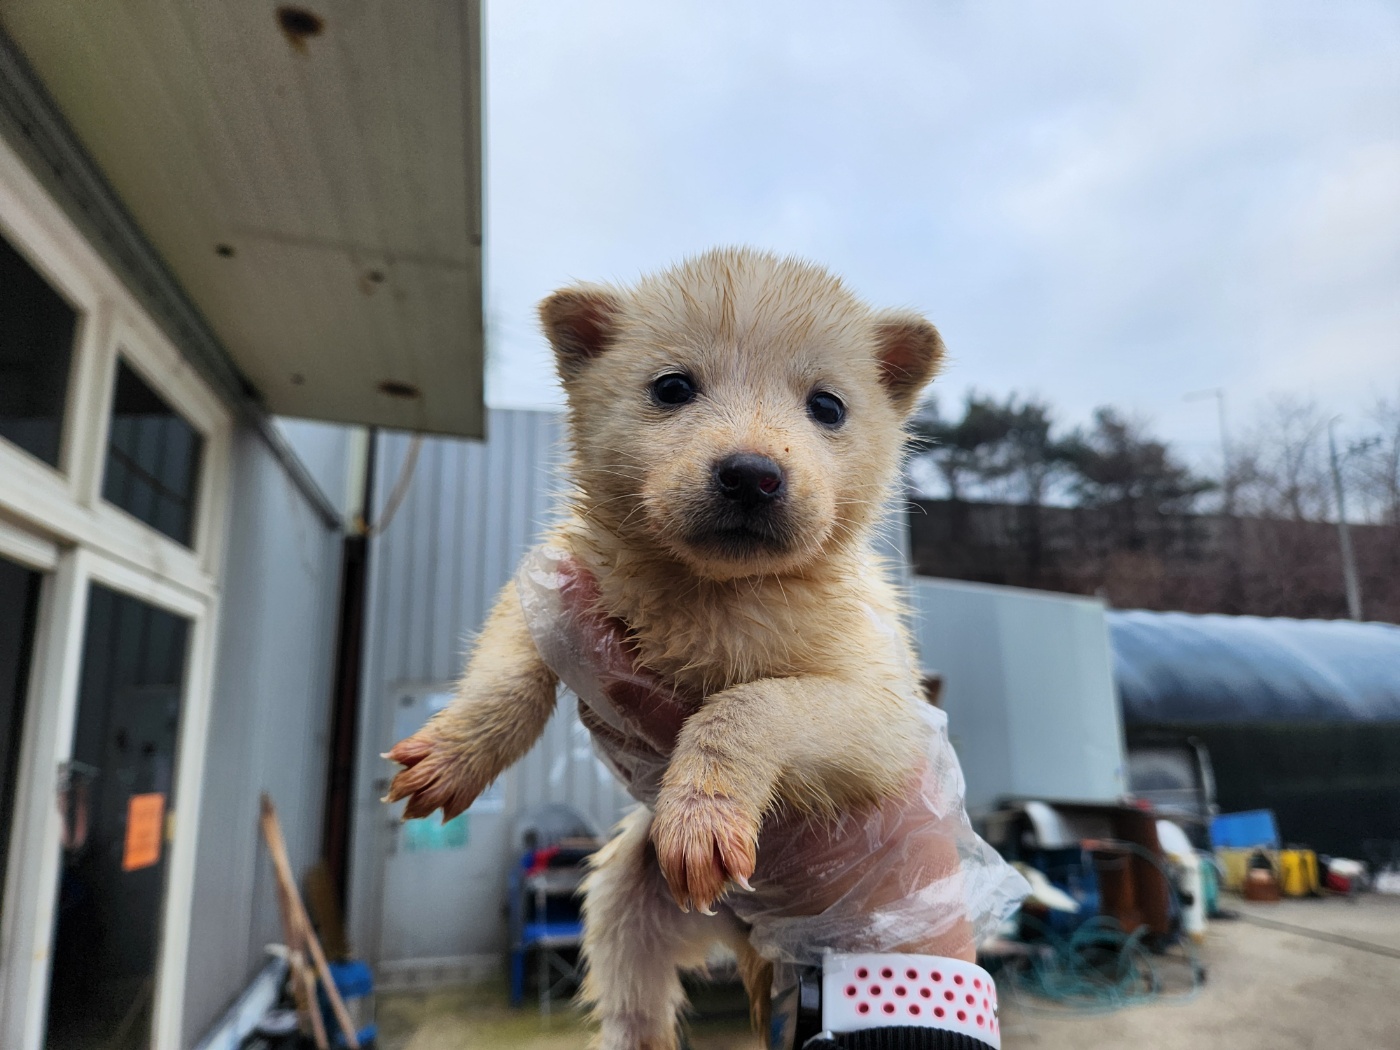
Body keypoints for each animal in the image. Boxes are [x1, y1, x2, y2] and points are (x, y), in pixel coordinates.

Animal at [389, 249, 957, 1050]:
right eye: (672, 386)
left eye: (828, 405)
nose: (751, 474)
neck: (712, 592)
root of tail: (744, 938)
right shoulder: (556, 587)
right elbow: (507, 668)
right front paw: (450, 756)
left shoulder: (883, 709)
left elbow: (752, 704)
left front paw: (701, 819)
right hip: (626, 889)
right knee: (634, 993)